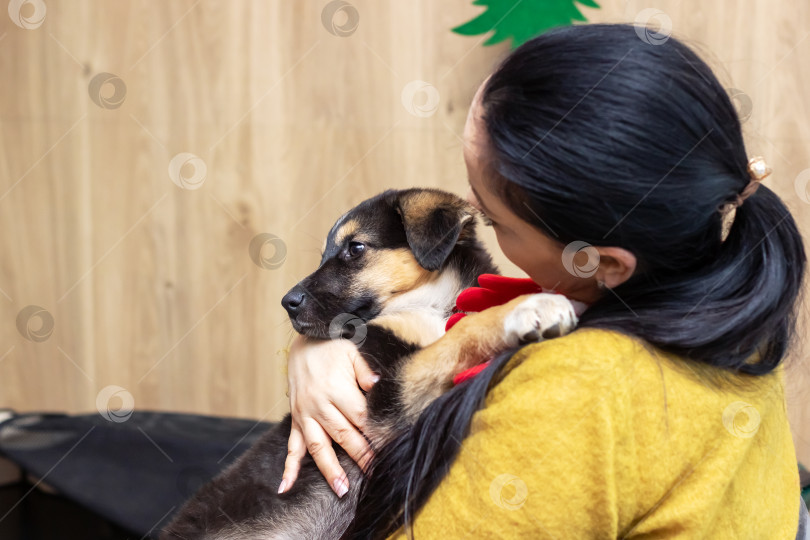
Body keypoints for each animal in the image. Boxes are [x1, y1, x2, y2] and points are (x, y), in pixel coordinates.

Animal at [159, 188, 576, 536]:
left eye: (355, 248)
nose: (287, 303)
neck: (434, 304)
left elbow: (458, 331)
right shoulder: (387, 393)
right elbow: (462, 334)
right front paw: (527, 307)